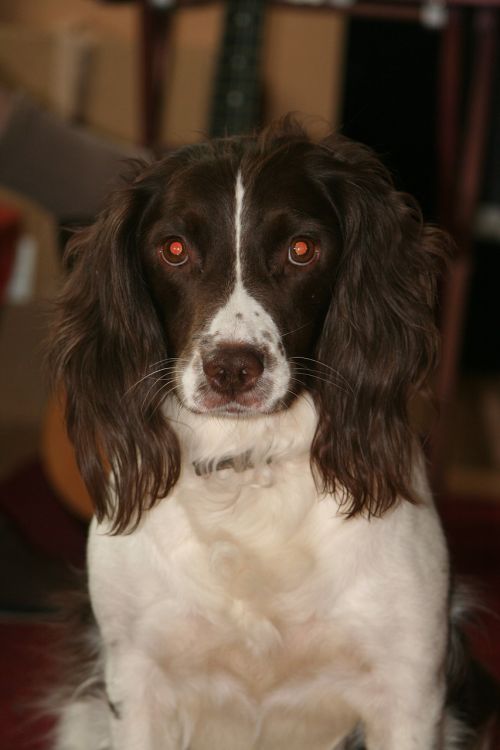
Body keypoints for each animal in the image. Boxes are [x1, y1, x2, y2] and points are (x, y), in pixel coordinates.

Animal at [48, 120, 498, 748]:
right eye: (174, 249)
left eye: (301, 249)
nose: (232, 369)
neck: (249, 464)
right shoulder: (137, 683)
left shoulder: (411, 689)